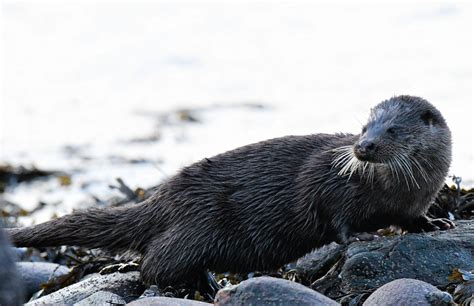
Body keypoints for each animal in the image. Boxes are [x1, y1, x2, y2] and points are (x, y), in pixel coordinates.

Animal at [5, 95, 454, 290]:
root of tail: (163, 196)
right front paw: (363, 234)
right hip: (197, 226)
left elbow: (413, 219)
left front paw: (435, 222)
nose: (363, 148)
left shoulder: (414, 201)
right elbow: (335, 216)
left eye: (391, 129)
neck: (399, 190)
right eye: (363, 128)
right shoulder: (328, 183)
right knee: (153, 263)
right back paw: (197, 282)